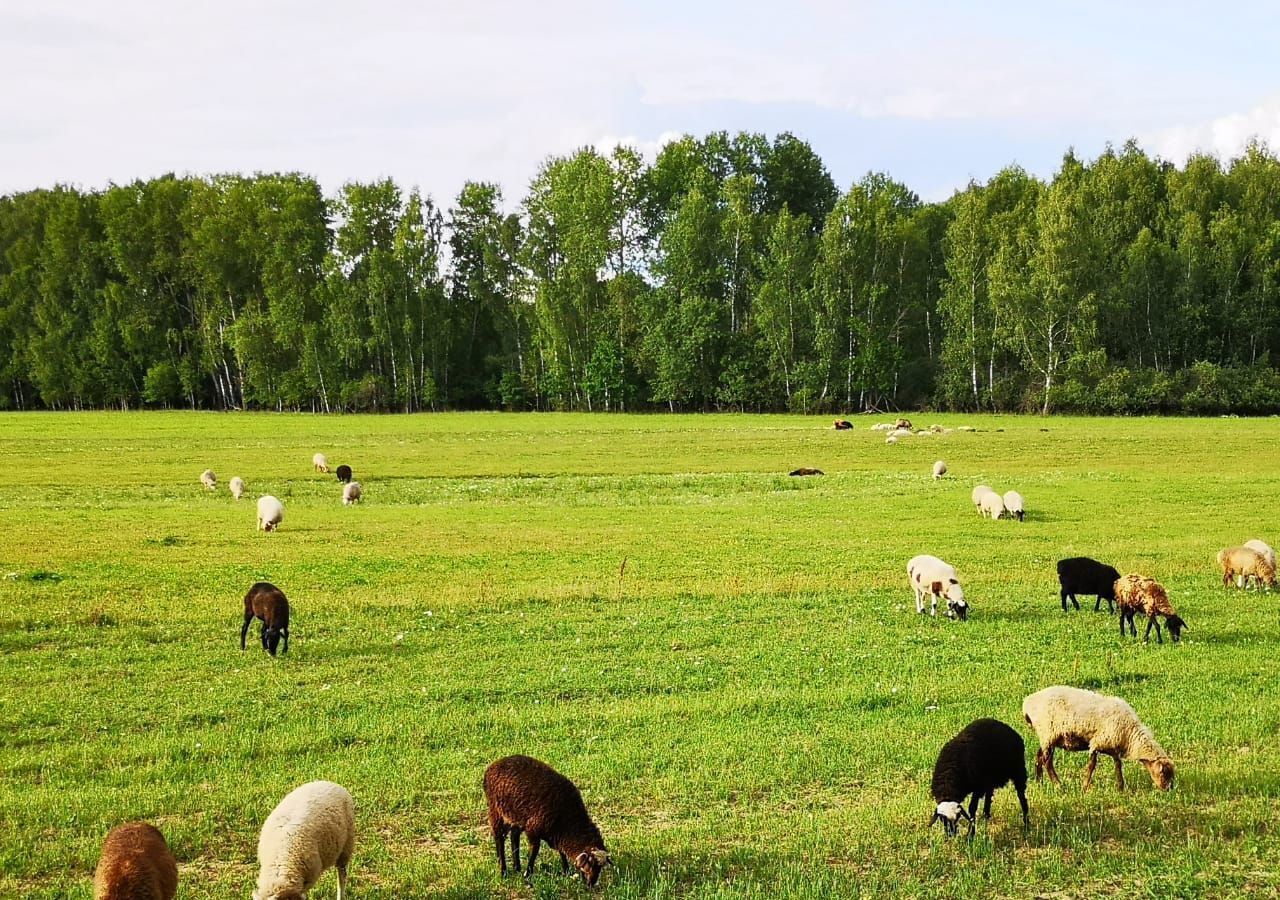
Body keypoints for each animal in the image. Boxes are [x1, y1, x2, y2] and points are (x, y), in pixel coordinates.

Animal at [483, 752, 614, 885]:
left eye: (600, 867)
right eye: (591, 863)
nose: (591, 884)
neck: (569, 823)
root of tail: (492, 766)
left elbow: (561, 852)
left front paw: (566, 871)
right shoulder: (533, 830)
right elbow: (534, 851)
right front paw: (528, 874)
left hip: (516, 816)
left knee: (514, 836)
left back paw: (517, 867)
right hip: (496, 811)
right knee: (499, 838)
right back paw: (503, 871)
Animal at [1024, 686, 1172, 793]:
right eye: (1164, 773)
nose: (1169, 790)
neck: (1131, 735)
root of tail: (1027, 703)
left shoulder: (1112, 746)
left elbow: (1118, 765)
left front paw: (1120, 787)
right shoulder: (1097, 742)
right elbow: (1092, 765)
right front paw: (1085, 787)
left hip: (1047, 738)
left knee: (1039, 757)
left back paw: (1039, 782)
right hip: (1048, 733)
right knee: (1047, 762)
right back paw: (1058, 785)